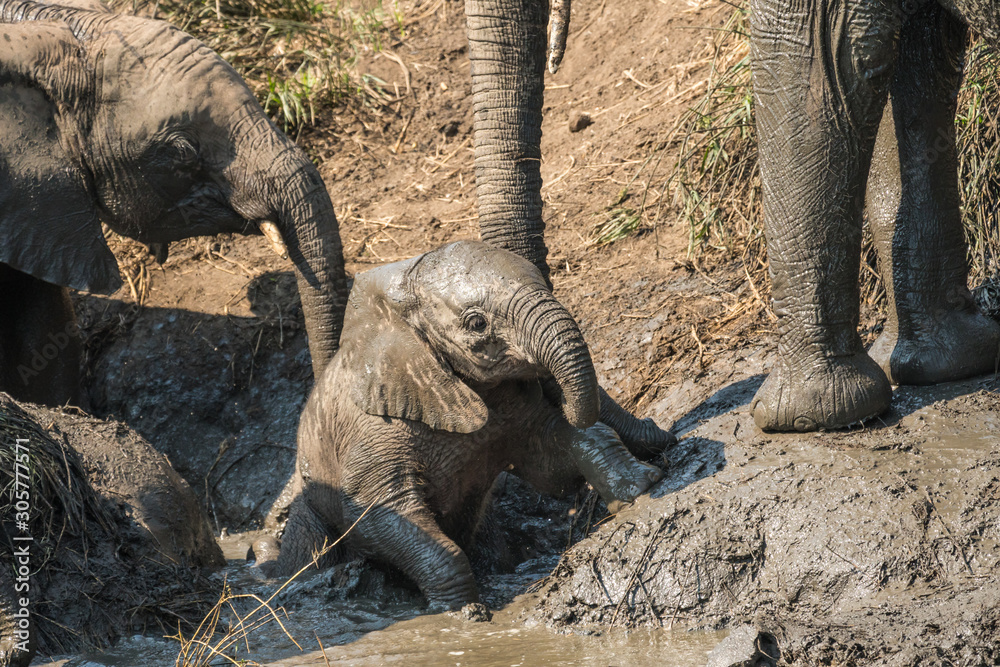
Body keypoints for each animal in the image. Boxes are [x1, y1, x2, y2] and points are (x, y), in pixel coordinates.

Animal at [267, 241, 665, 610]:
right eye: (477, 323)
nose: (655, 425)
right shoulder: (375, 427)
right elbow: (376, 510)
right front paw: (461, 614)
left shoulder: (510, 405)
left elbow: (549, 462)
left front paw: (642, 487)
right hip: (309, 513)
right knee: (313, 547)